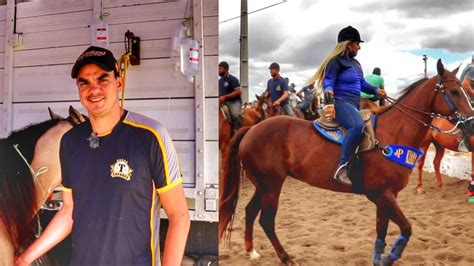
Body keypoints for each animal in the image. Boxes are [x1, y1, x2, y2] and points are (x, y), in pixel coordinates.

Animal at [219, 60, 474, 264]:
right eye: (454, 91)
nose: (471, 123)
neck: (394, 133)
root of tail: (252, 129)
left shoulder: (385, 196)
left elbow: (382, 230)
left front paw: (379, 258)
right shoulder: (382, 194)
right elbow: (406, 228)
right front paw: (390, 257)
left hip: (263, 184)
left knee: (250, 211)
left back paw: (251, 251)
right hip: (271, 185)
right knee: (266, 220)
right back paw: (285, 257)